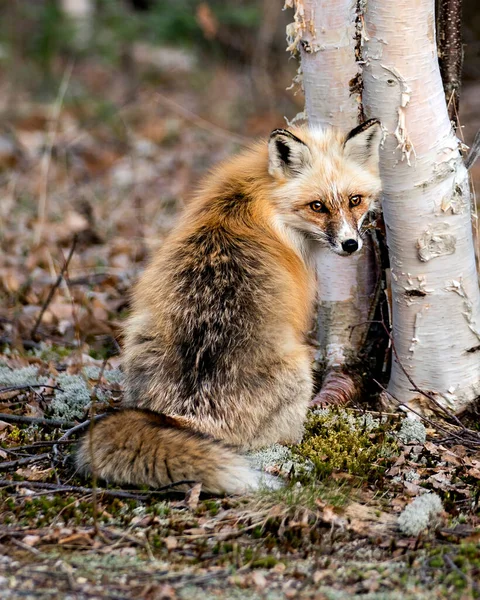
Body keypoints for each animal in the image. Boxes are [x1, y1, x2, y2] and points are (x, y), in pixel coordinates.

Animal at [77, 118, 380, 492]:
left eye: (355, 200)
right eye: (317, 206)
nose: (350, 245)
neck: (258, 198)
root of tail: (188, 415)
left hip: (136, 335)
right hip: (300, 365)